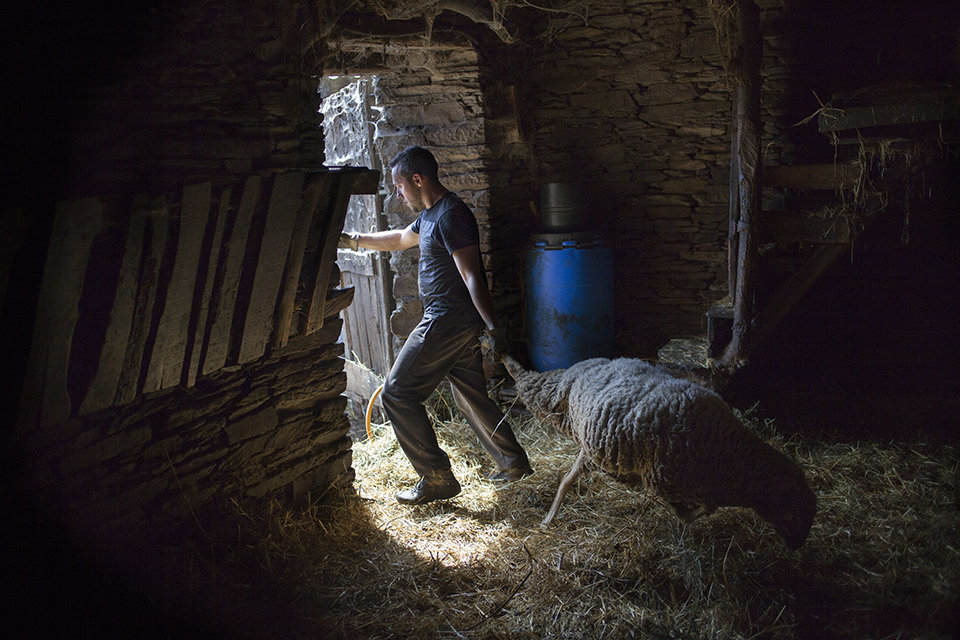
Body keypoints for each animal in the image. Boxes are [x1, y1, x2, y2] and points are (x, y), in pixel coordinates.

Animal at [502, 356, 816, 552]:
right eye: (793, 516)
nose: (798, 547)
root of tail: (578, 370)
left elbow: (707, 507)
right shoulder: (663, 480)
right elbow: (692, 509)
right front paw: (684, 519)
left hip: (589, 445)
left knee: (568, 478)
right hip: (560, 410)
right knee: (532, 387)